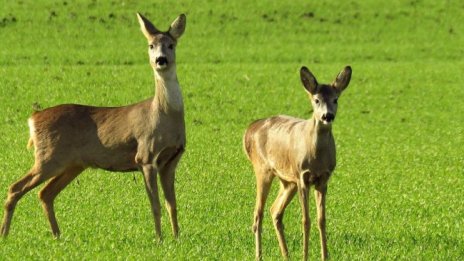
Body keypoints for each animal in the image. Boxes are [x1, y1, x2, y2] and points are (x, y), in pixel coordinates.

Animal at [2, 12, 187, 240]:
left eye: (171, 45)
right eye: (151, 45)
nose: (161, 60)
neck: (164, 115)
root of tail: (33, 118)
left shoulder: (171, 160)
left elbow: (172, 205)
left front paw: (177, 238)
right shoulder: (145, 156)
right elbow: (156, 205)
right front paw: (159, 240)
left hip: (73, 164)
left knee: (45, 193)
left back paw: (58, 236)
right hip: (48, 157)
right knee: (15, 187)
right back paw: (5, 236)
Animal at [243, 65, 352, 258]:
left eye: (335, 99)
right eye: (316, 100)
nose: (327, 116)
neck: (316, 157)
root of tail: (249, 130)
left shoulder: (323, 179)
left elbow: (321, 220)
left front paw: (325, 256)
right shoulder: (302, 177)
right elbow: (306, 220)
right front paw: (305, 256)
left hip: (287, 180)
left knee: (275, 211)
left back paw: (286, 255)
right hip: (263, 169)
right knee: (258, 213)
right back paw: (259, 255)